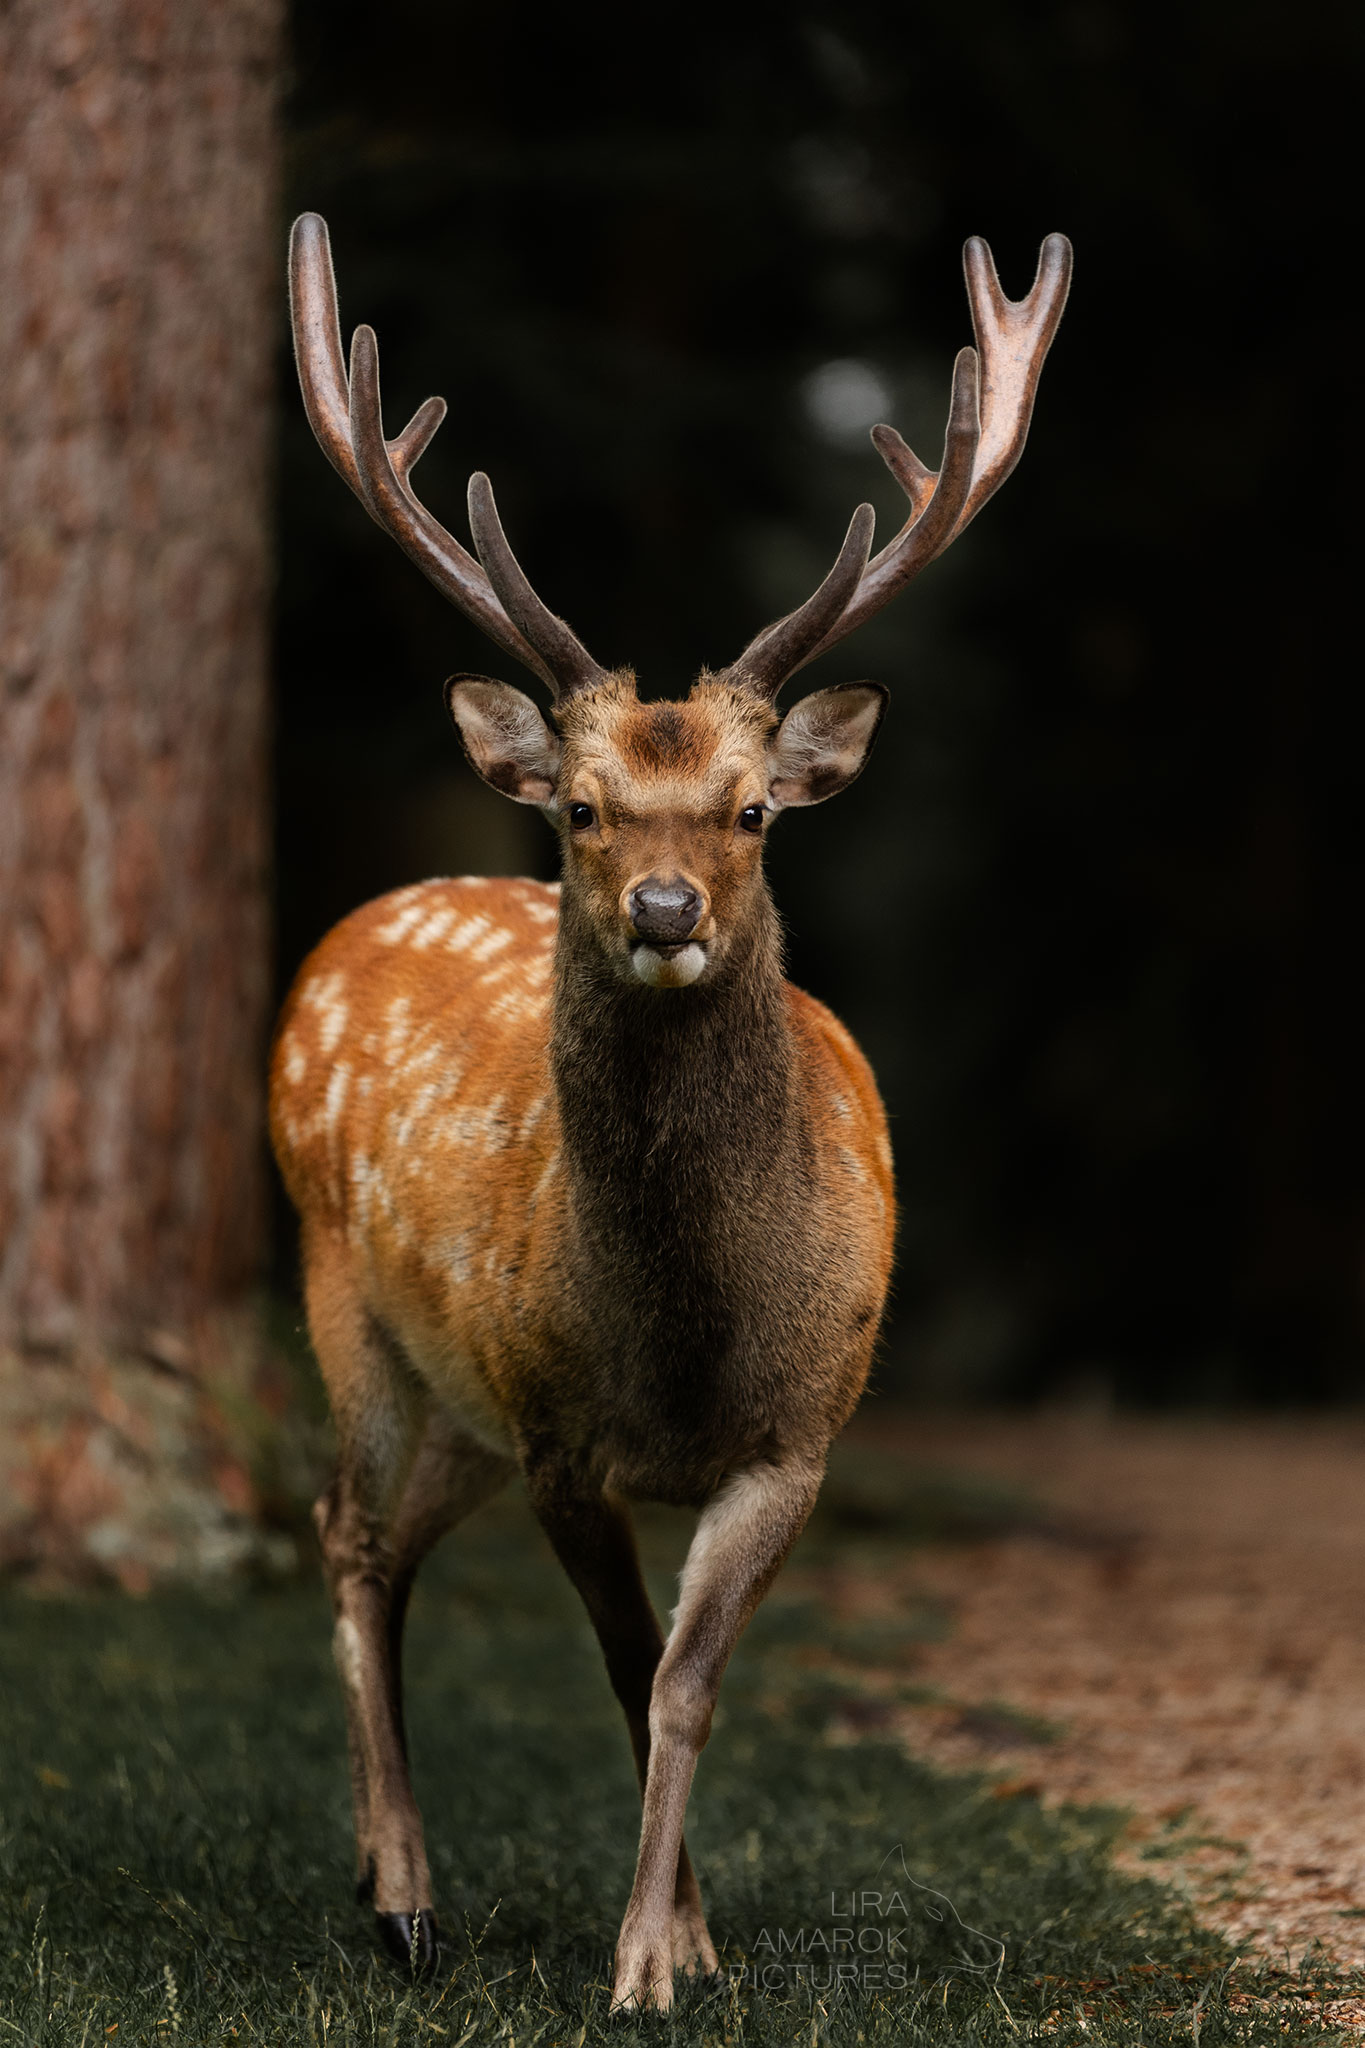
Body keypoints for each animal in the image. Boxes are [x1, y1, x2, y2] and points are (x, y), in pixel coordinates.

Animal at [272, 211, 1072, 2015]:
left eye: (754, 808)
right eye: (581, 805)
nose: (657, 909)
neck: (684, 1337)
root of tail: (337, 940)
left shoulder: (798, 1434)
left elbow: (689, 1685)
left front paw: (679, 1943)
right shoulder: (566, 1439)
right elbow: (630, 1667)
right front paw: (654, 1952)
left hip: (467, 1403)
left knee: (389, 1542)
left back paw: (377, 1870)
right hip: (352, 1303)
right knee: (345, 1536)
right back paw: (403, 1893)